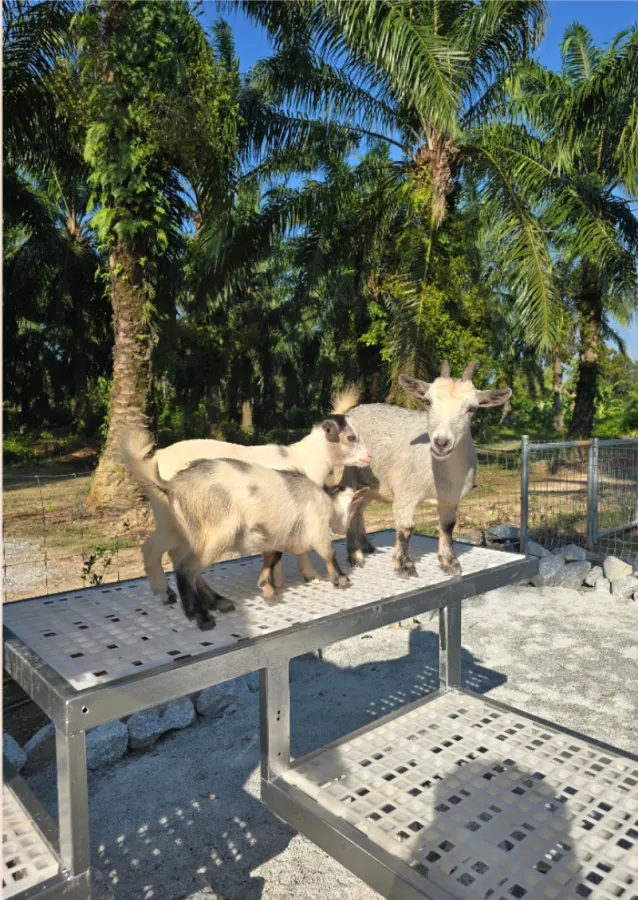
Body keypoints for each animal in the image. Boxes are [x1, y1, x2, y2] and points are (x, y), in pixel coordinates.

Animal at [123, 388, 370, 606]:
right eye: (350, 437)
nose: (369, 456)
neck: (306, 458)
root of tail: (155, 460)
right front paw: (304, 576)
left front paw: (279, 581)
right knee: (164, 553)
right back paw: (175, 593)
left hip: (171, 520)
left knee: (155, 549)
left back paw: (169, 594)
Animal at [341, 360, 511, 577]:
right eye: (428, 402)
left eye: (472, 408)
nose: (441, 442)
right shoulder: (405, 494)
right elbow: (406, 528)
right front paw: (403, 565)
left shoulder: (450, 499)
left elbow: (447, 527)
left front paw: (450, 562)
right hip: (349, 477)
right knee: (349, 510)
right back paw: (354, 556)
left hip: (372, 485)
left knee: (359, 509)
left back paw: (365, 546)